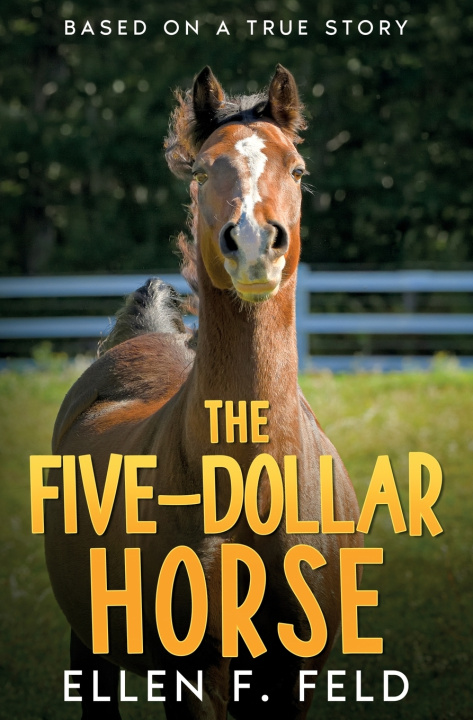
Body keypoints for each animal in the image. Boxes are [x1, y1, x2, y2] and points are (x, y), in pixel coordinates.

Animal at [45, 65, 362, 720]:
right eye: (200, 172)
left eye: (297, 169)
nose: (254, 243)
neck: (253, 490)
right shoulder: (192, 674)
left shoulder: (297, 674)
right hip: (89, 647)